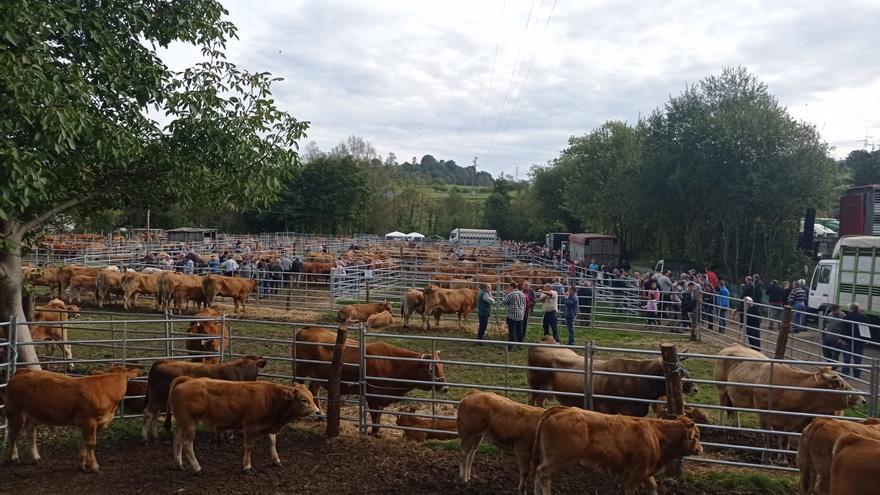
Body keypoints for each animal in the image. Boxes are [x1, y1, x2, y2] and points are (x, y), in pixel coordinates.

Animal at [4, 368, 141, 472]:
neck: (104, 391)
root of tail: (22, 371)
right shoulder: (88, 421)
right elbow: (91, 443)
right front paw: (93, 466)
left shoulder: (95, 424)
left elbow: (86, 442)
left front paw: (82, 464)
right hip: (15, 414)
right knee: (12, 435)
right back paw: (14, 456)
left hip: (33, 416)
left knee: (30, 434)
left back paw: (35, 457)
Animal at [169, 378, 320, 474]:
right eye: (303, 400)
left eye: (312, 397)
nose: (318, 411)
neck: (271, 398)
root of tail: (187, 380)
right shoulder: (251, 426)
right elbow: (249, 446)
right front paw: (247, 466)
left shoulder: (268, 425)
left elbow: (272, 441)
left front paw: (276, 460)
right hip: (189, 423)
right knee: (187, 444)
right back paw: (197, 468)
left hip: (181, 422)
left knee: (177, 439)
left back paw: (178, 463)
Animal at [294, 330, 446, 434]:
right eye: (432, 369)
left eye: (442, 366)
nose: (445, 388)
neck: (392, 363)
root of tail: (304, 331)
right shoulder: (373, 394)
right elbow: (374, 413)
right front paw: (374, 431)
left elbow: (379, 413)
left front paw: (377, 430)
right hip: (301, 371)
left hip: (318, 377)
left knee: (313, 391)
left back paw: (320, 415)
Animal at [532, 406, 704, 495]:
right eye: (697, 435)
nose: (700, 449)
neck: (656, 434)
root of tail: (561, 409)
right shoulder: (635, 475)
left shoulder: (646, 472)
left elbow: (653, 486)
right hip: (560, 458)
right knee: (542, 473)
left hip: (548, 456)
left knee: (537, 474)